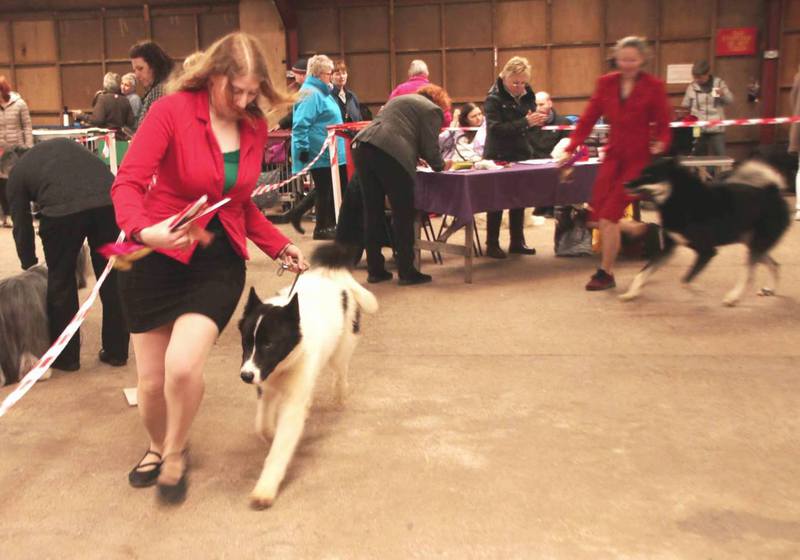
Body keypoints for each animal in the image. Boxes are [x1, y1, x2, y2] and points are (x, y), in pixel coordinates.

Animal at [238, 243, 378, 509]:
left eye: (269, 344)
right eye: (246, 342)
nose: (246, 376)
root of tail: (332, 275)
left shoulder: (292, 399)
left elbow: (281, 445)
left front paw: (266, 487)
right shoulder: (266, 387)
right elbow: (263, 425)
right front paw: (270, 433)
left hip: (341, 350)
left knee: (340, 372)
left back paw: (340, 395)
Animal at [621, 158, 791, 306]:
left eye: (649, 176)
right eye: (642, 172)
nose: (625, 183)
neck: (680, 199)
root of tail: (773, 193)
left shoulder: (707, 251)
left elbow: (685, 280)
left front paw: (696, 289)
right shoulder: (669, 249)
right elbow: (642, 274)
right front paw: (631, 293)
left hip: (756, 245)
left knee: (749, 274)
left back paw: (733, 297)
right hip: (753, 244)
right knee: (775, 265)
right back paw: (769, 289)